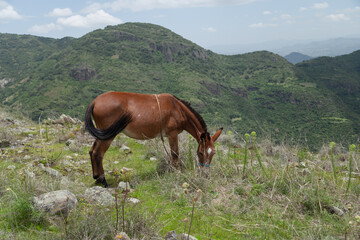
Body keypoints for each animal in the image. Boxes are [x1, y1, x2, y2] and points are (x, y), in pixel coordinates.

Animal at [86, 91, 224, 187]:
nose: (205, 174)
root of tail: (95, 101)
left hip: (102, 133)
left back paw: (97, 177)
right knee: (98, 153)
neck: (177, 108)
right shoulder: (172, 134)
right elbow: (175, 154)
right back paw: (103, 181)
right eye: (201, 152)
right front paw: (177, 173)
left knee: (92, 151)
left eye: (213, 153)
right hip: (108, 135)